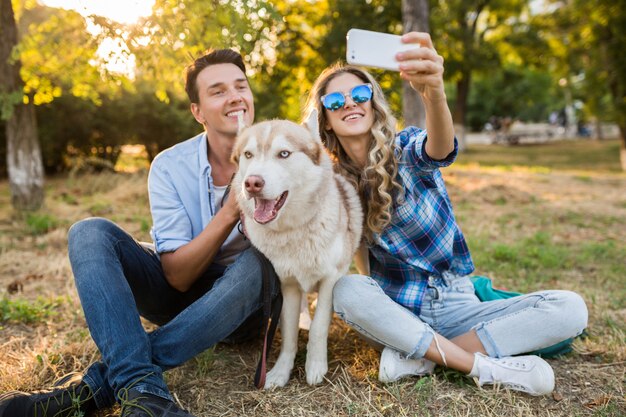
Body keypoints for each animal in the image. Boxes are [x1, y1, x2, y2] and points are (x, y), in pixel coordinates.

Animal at [230, 110, 360, 386]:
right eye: (248, 155)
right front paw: (280, 371)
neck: (294, 231)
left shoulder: (330, 279)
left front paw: (315, 366)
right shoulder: (286, 284)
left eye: (284, 154)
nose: (252, 183)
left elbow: (320, 326)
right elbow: (288, 333)